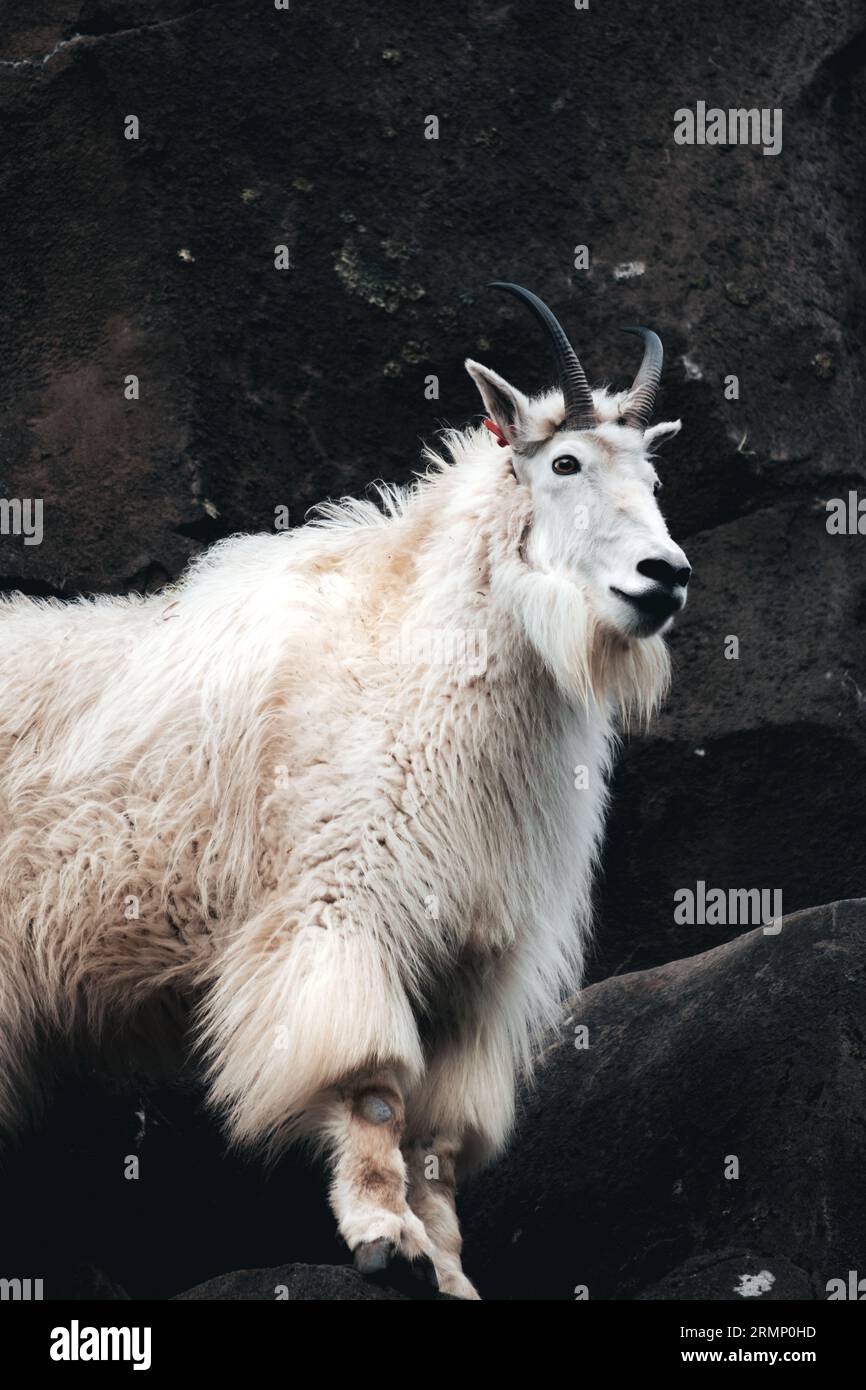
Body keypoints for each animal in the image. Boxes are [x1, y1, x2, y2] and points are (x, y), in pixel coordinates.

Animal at [0, 283, 690, 1299]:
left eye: (651, 474)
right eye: (565, 461)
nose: (664, 578)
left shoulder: (475, 963)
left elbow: (440, 1138)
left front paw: (449, 1266)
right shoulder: (342, 905)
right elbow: (371, 1090)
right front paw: (383, 1239)